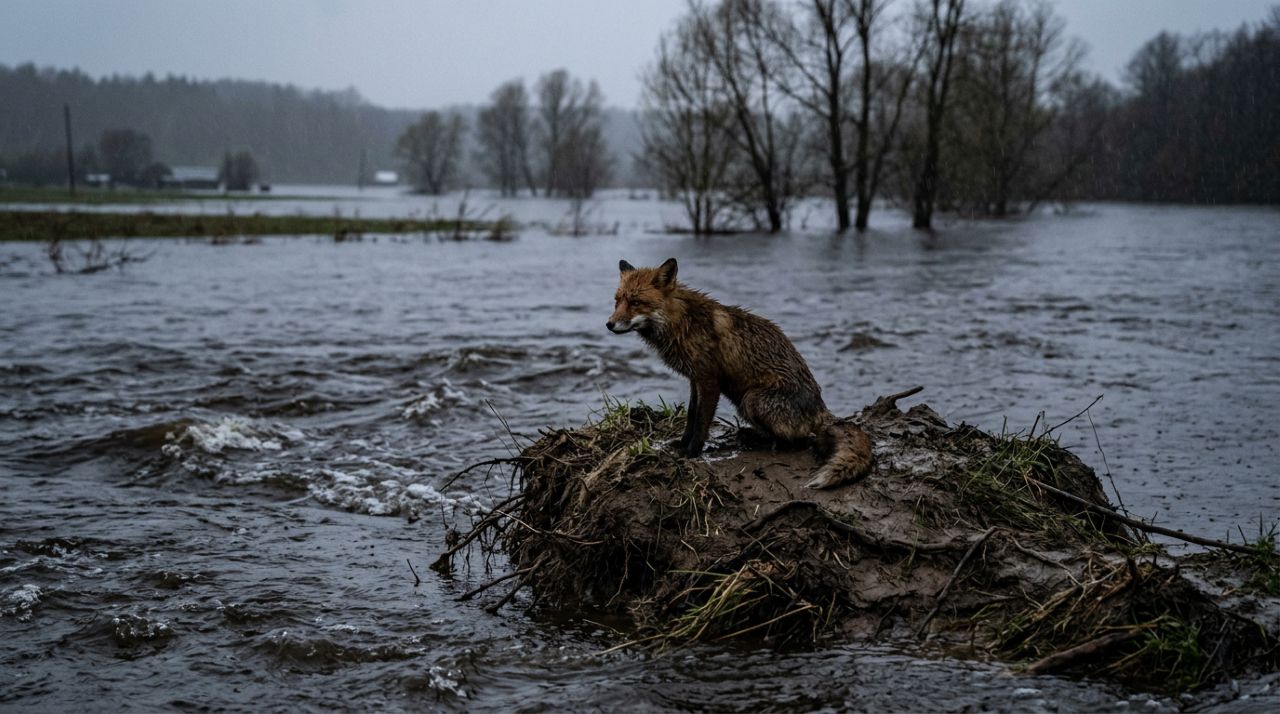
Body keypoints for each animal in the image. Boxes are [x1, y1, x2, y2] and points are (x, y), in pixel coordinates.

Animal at [606, 257, 873, 489]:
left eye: (636, 302)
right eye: (617, 301)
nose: (609, 324)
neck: (682, 322)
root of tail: (820, 407)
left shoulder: (709, 380)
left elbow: (702, 422)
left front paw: (692, 453)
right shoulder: (695, 379)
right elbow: (691, 416)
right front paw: (680, 445)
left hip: (751, 400)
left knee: (798, 439)